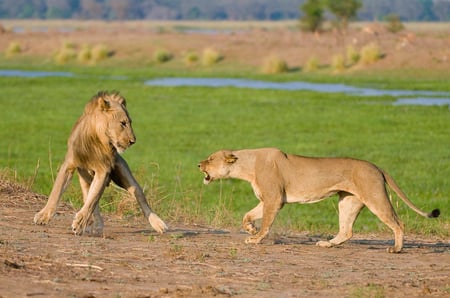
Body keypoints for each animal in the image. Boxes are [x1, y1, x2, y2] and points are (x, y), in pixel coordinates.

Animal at [33, 91, 167, 235]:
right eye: (123, 123)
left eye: (130, 123)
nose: (133, 141)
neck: (97, 139)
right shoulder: (68, 166)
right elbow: (56, 192)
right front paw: (43, 216)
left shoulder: (103, 171)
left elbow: (92, 200)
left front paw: (79, 223)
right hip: (85, 180)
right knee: (91, 201)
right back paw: (96, 225)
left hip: (124, 175)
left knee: (139, 196)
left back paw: (159, 224)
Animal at [200, 148, 440, 253]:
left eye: (210, 159)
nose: (198, 164)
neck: (246, 166)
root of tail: (377, 166)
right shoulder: (268, 199)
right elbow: (247, 215)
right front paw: (250, 229)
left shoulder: (274, 199)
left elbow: (266, 223)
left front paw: (255, 238)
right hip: (348, 201)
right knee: (346, 231)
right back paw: (327, 244)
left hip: (375, 197)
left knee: (398, 223)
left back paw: (396, 249)